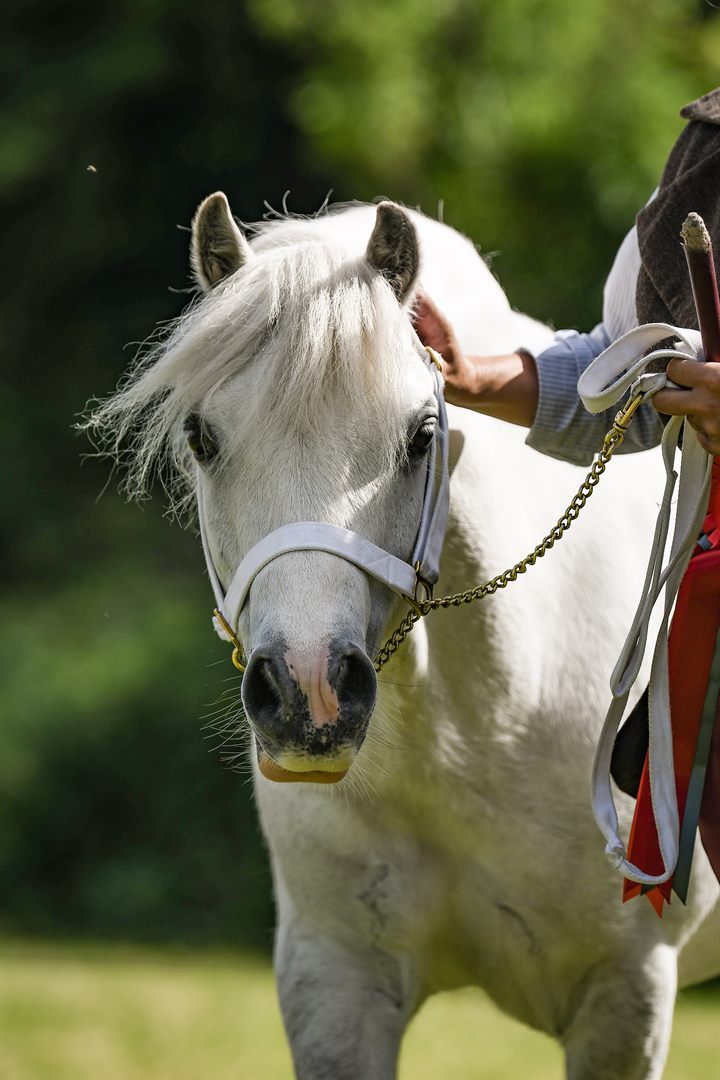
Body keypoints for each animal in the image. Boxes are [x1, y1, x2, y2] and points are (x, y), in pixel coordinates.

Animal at [86, 195, 720, 1079]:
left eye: (421, 434)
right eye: (202, 439)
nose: (310, 693)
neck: (480, 727)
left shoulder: (623, 1000)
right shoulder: (335, 981)